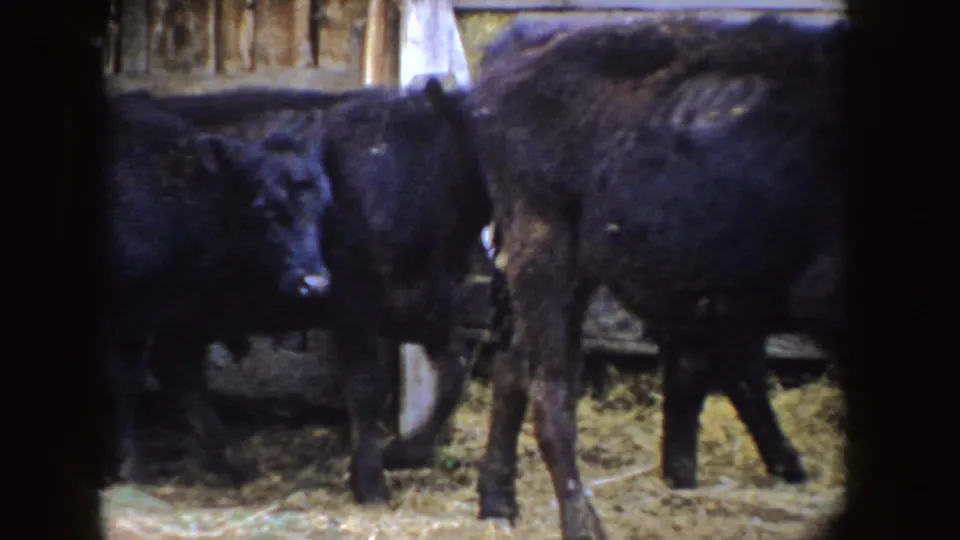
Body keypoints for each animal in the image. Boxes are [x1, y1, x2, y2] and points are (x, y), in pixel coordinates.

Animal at [105, 94, 336, 485]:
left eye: (322, 206)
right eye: (264, 208)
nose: (315, 283)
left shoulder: (179, 311)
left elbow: (181, 372)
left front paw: (230, 457)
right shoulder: (129, 313)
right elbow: (127, 378)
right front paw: (130, 464)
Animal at [128, 84, 489, 502]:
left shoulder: (429, 305)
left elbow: (454, 371)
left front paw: (404, 453)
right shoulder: (354, 307)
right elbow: (367, 388)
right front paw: (370, 480)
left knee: (174, 364)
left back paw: (233, 463)